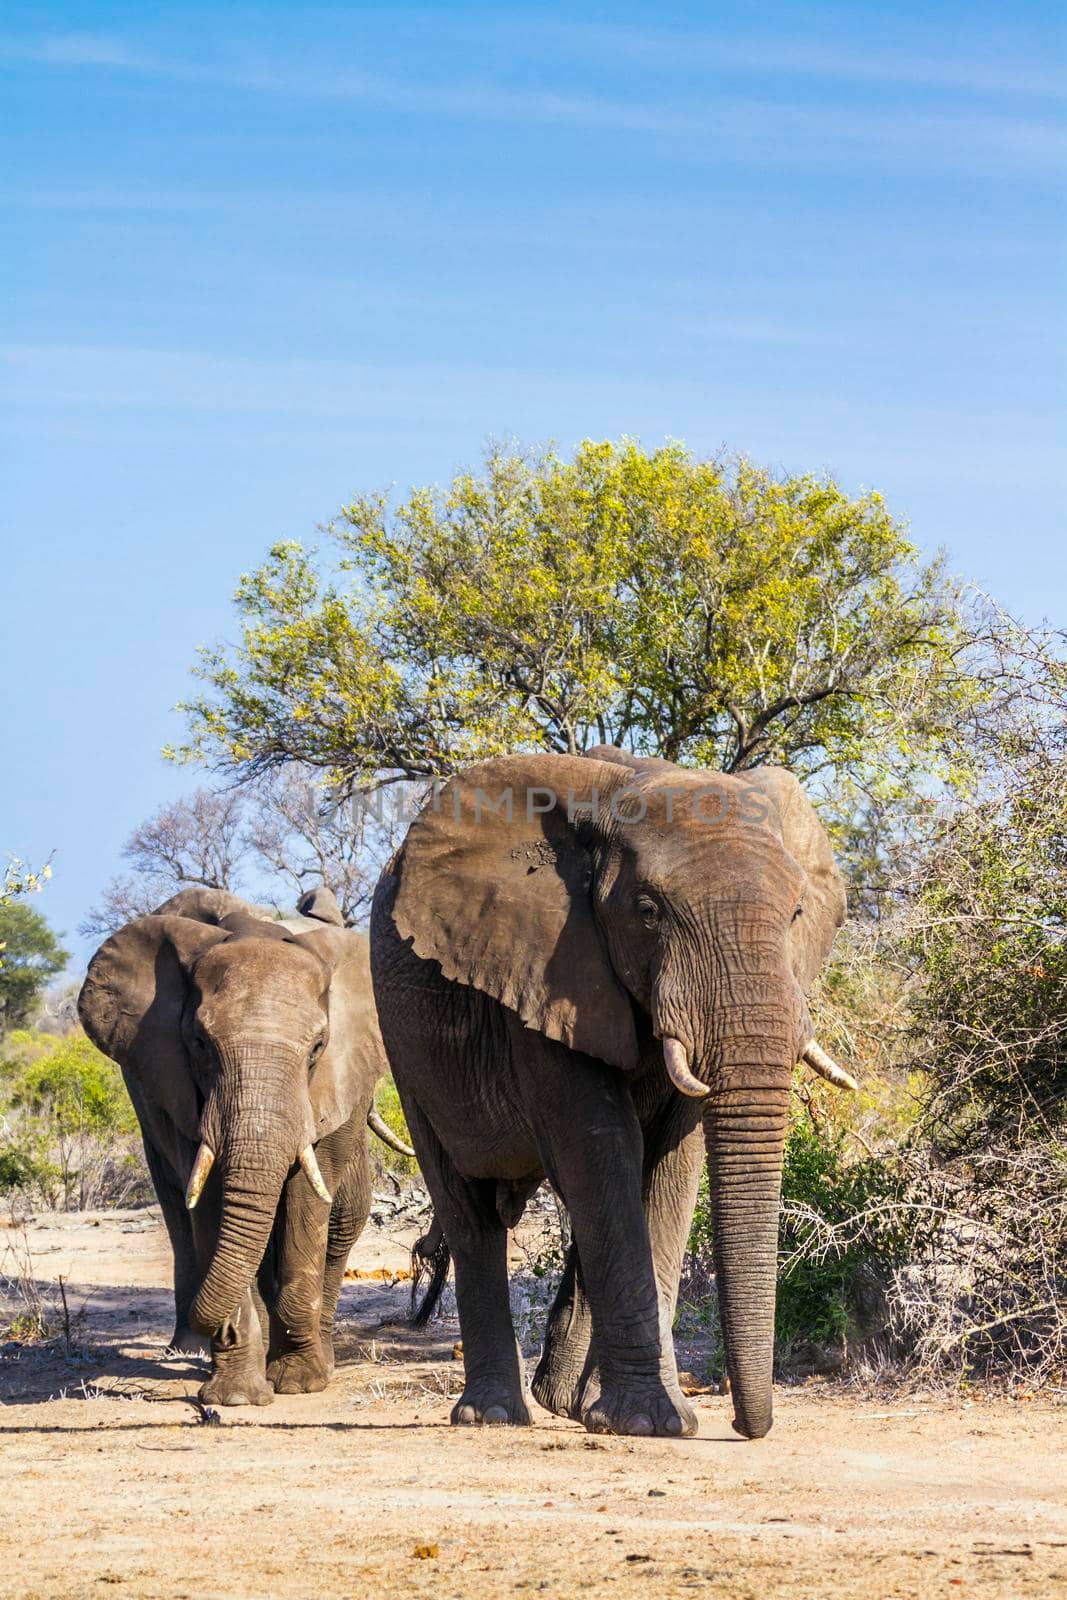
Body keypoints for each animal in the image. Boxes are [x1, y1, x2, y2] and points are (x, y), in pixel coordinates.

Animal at [78, 883, 412, 1408]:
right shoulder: (174, 1085)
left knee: (341, 1219)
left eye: (317, 1048)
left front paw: (299, 1382)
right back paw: (190, 1351)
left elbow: (307, 1201)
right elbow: (211, 1200)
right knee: (178, 1210)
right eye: (199, 1043)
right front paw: (235, 1395)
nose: (223, 1331)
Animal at [374, 745, 851, 1440]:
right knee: (470, 1206)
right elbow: (601, 1145)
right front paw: (654, 1424)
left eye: (795, 915)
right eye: (647, 912)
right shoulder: (545, 970)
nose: (746, 1427)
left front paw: (642, 1418)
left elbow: (669, 1162)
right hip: (404, 1046)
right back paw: (495, 1415)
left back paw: (567, 1406)